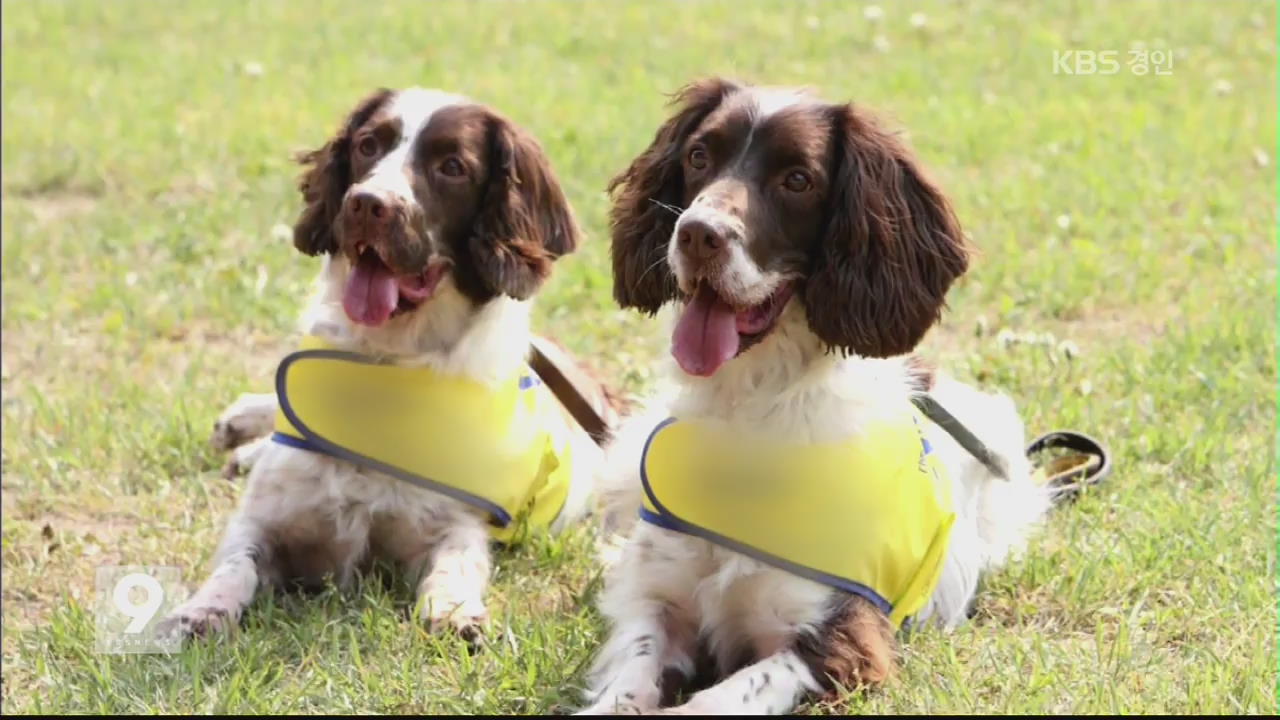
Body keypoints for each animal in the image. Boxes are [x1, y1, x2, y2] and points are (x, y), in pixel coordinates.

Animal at [165, 87, 614, 640]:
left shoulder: (450, 523)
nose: (367, 203)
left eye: (451, 167)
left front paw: (454, 609)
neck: (386, 359)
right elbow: (235, 562)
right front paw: (202, 609)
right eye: (367, 145)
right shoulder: (269, 517)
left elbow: (456, 560)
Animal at [581, 79, 1049, 712]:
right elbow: (628, 679)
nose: (697, 233)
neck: (752, 408)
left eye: (797, 180)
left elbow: (716, 700)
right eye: (699, 156)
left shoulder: (842, 640)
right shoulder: (655, 603)